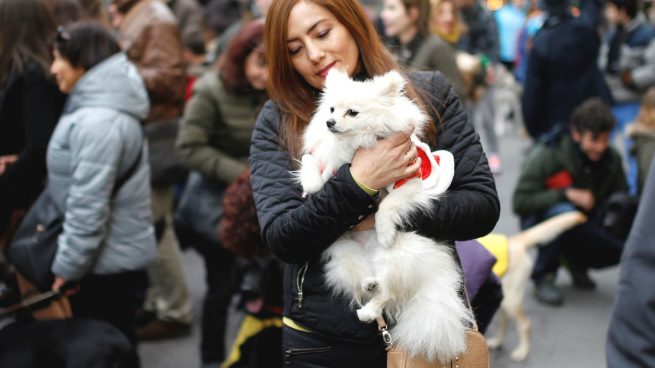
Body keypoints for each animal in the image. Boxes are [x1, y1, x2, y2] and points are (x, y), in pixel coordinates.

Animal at [484, 211, 588, 360]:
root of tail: (515, 240)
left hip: (511, 300)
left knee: (525, 324)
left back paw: (522, 352)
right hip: (500, 298)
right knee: (505, 319)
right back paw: (497, 342)